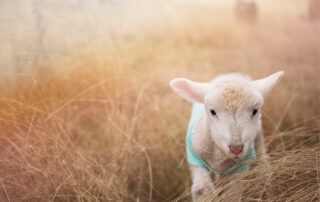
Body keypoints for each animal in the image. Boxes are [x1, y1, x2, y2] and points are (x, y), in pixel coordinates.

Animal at [169, 71, 284, 200]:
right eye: (212, 111)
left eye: (255, 111)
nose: (236, 148)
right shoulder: (195, 159)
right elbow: (202, 190)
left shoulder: (236, 169)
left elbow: (231, 194)